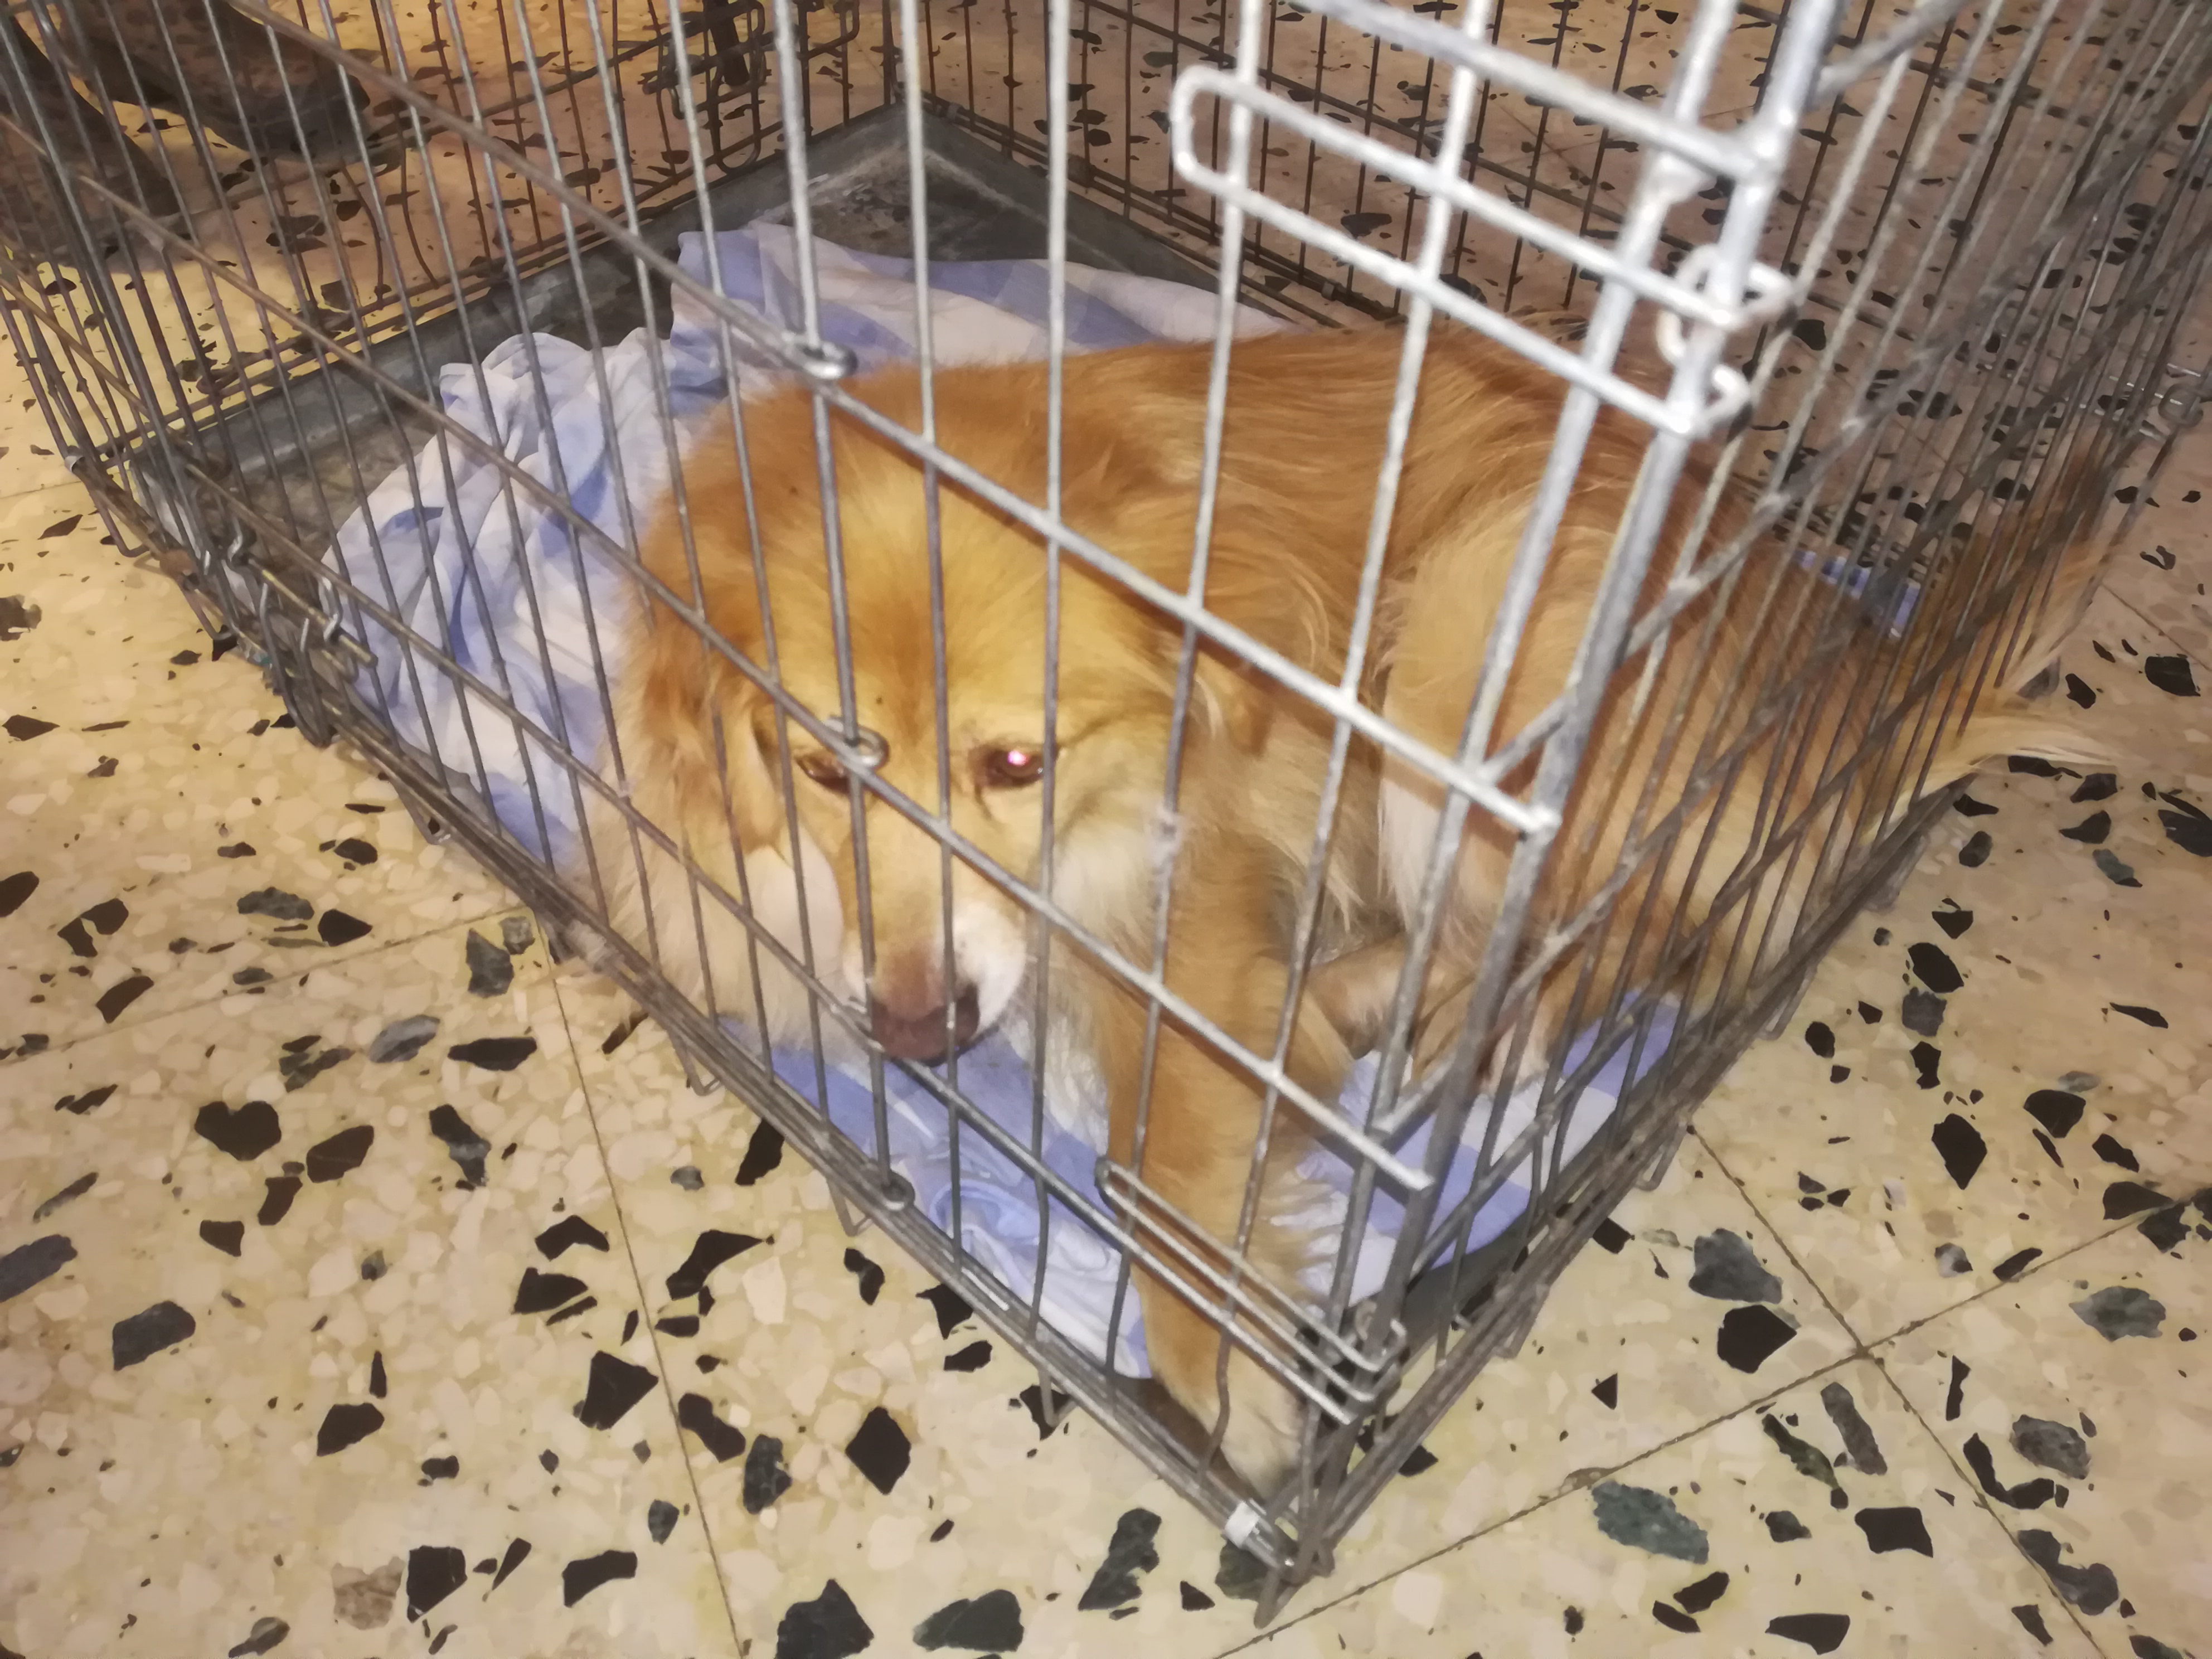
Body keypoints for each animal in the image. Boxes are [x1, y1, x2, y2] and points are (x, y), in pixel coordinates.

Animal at [585, 321, 2108, 1491]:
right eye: (815, 761)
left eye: (1017, 764)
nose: (915, 1032)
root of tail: (1823, 680)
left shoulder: (1188, 894)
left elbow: (1165, 1161)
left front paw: (1222, 1371)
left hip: (1463, 648)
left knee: (1621, 936)